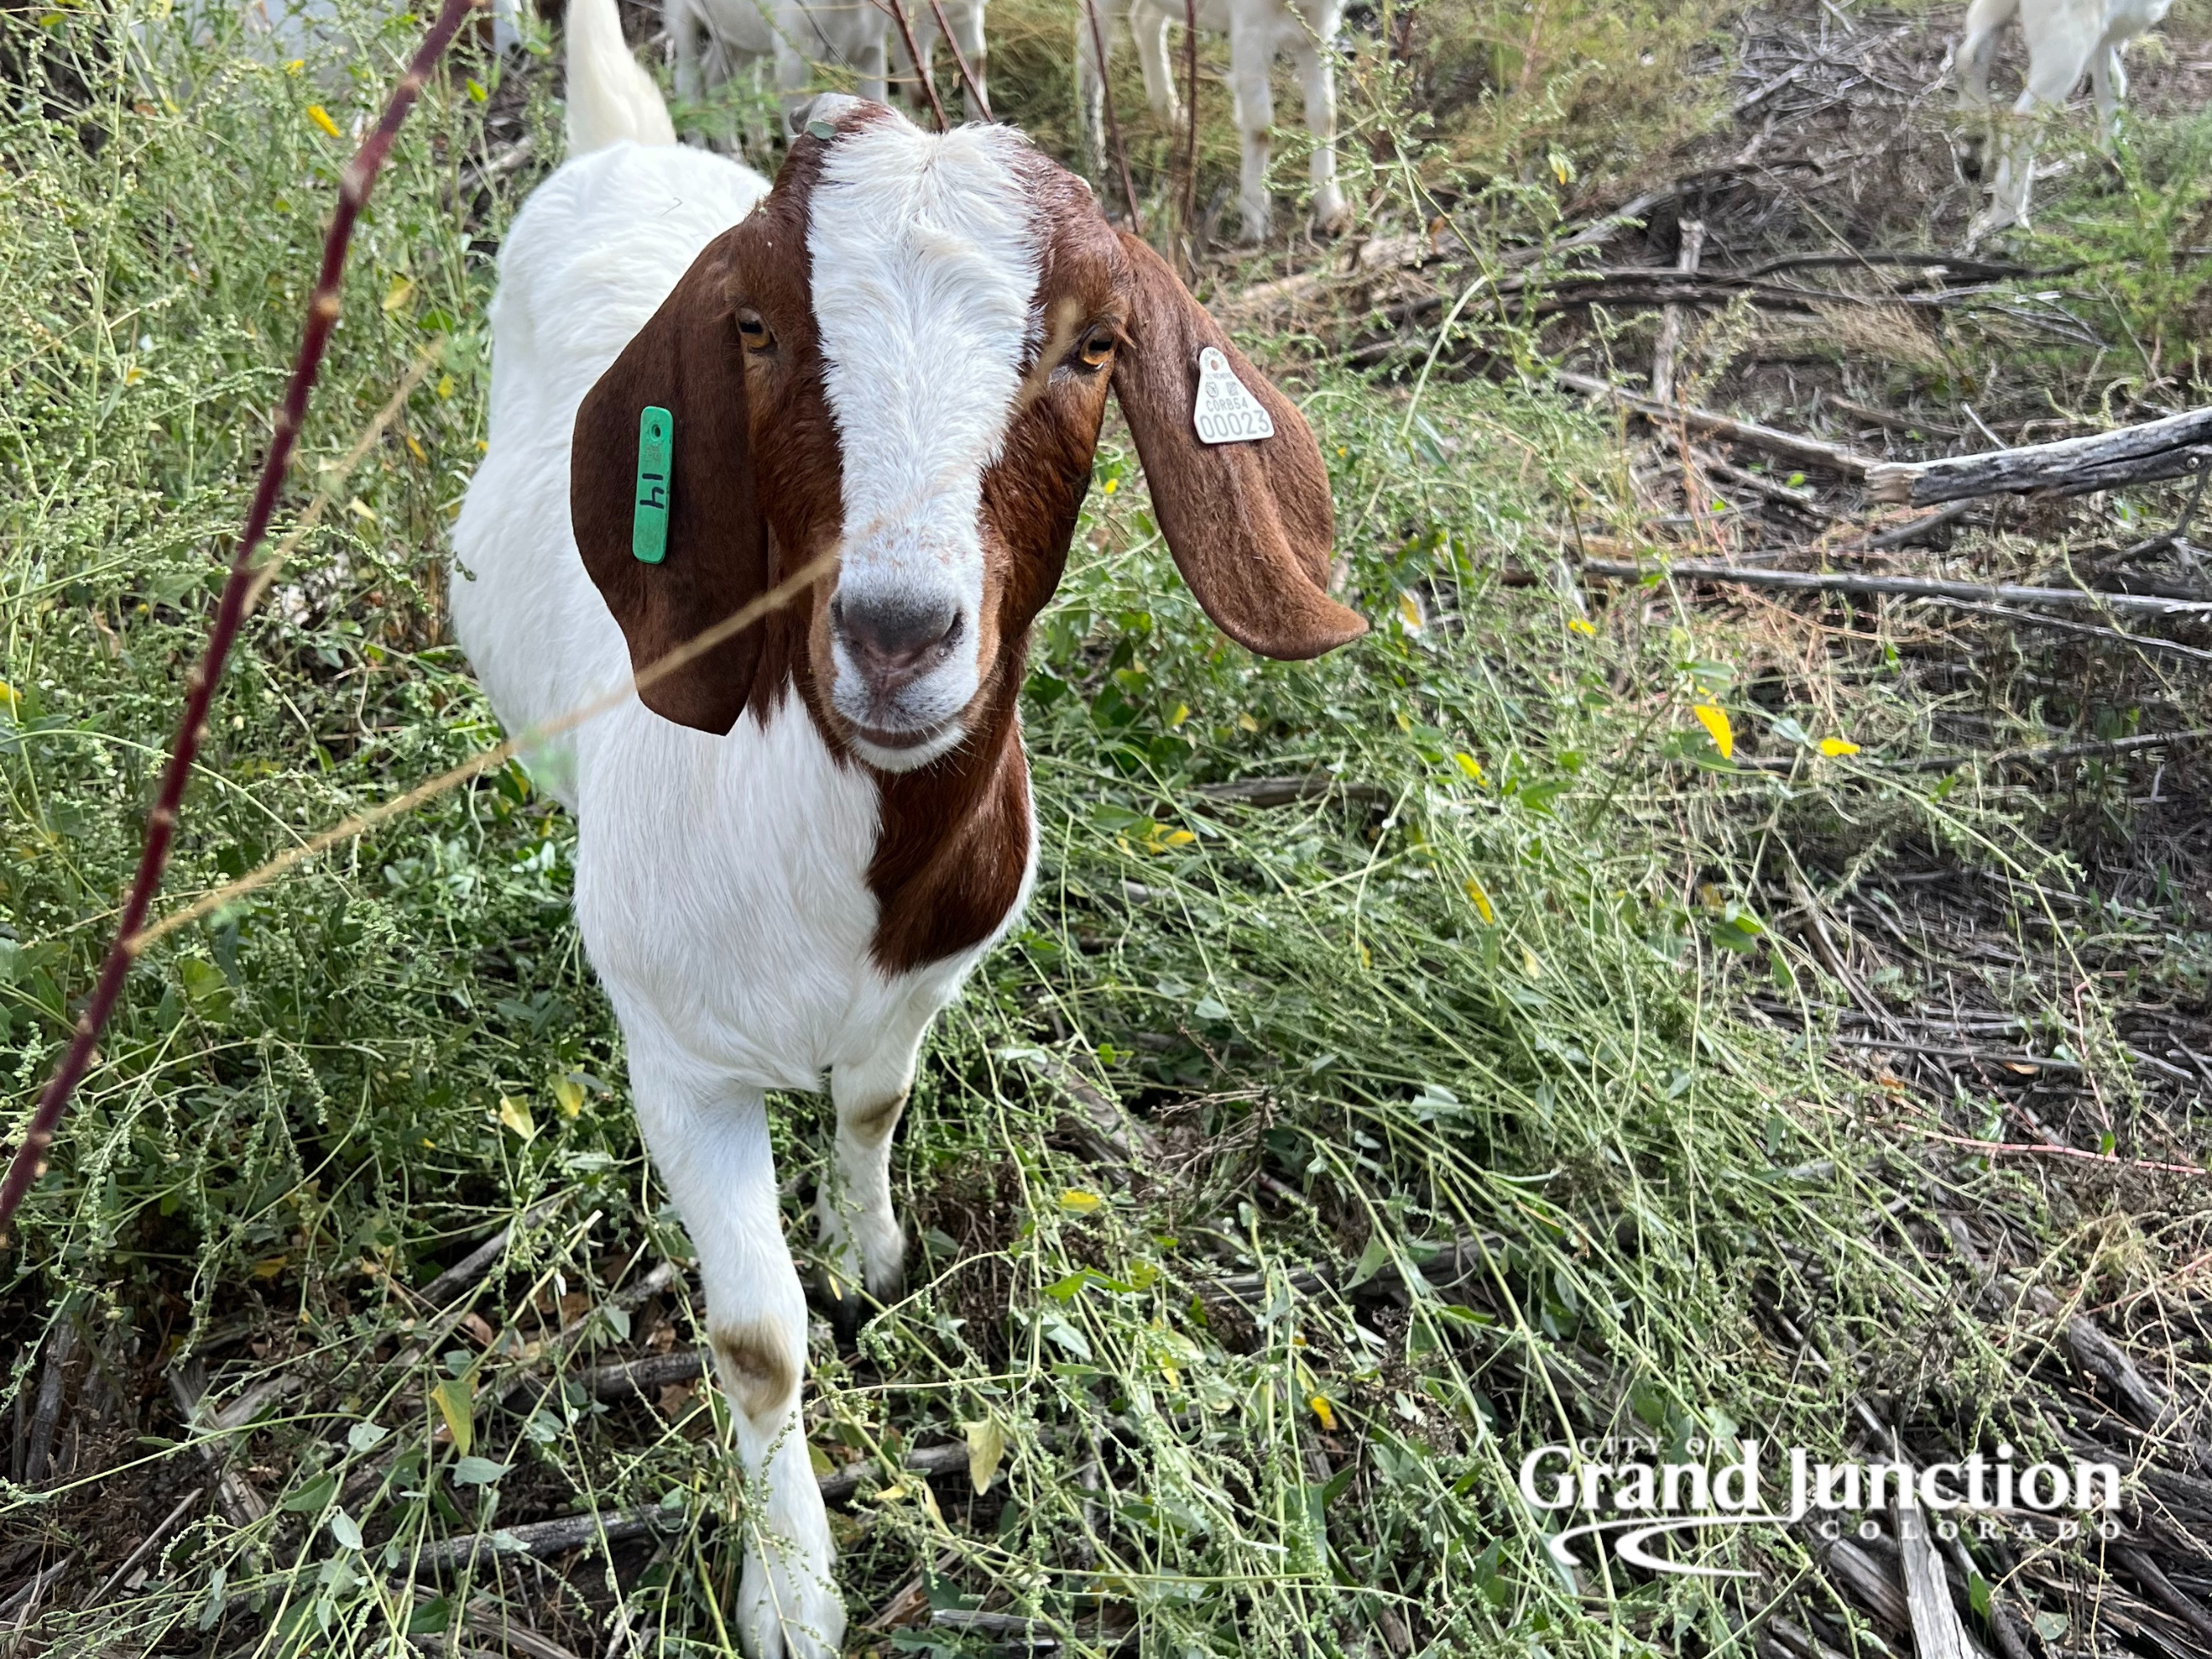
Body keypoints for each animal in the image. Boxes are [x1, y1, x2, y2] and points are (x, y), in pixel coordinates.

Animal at [666, 0, 989, 126]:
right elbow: (920, 89)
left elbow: (976, 63)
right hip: (680, 16)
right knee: (687, 84)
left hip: (738, 36)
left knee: (720, 81)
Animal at [1077, 0, 1347, 241]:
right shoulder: (1250, 30)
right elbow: (1260, 126)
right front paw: (1255, 218)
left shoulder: (1320, 26)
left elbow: (1325, 115)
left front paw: (1332, 207)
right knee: (1089, 52)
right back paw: (1094, 158)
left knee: (1144, 20)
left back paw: (1170, 112)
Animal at [1958, 0, 2174, 240]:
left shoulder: (2106, 32)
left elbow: (2111, 83)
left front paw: (2112, 166)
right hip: (2067, 39)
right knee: (2024, 121)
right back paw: (2005, 220)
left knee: (1970, 56)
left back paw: (1973, 150)